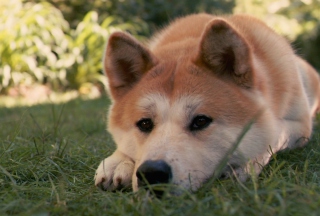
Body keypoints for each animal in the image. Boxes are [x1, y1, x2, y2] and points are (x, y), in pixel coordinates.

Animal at [94, 13, 320, 195]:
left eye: (201, 121)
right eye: (144, 124)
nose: (152, 172)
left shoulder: (300, 126)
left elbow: (276, 133)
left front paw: (245, 164)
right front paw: (118, 161)